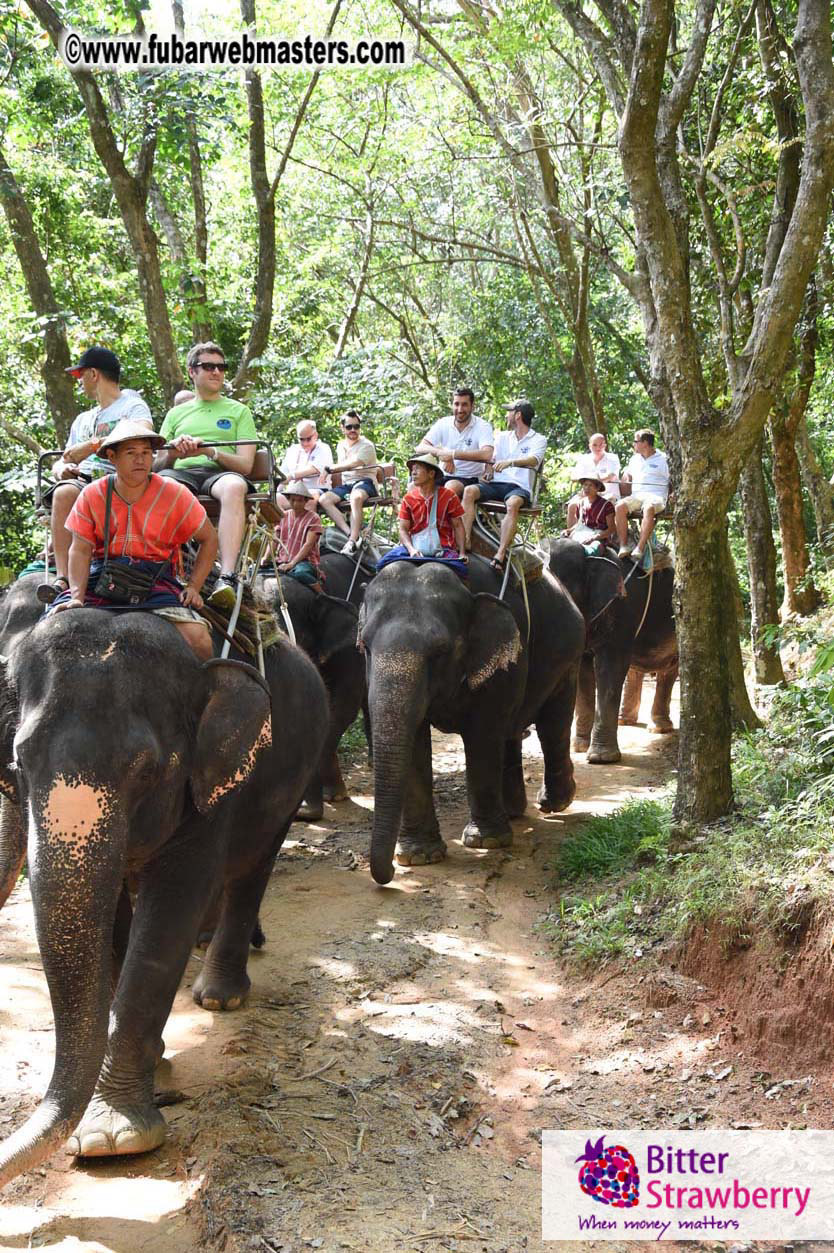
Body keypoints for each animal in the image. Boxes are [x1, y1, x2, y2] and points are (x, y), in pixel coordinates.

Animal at [0, 599, 328, 1187]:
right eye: (18, 762)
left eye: (148, 769)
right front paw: (152, 1069)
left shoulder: (213, 779)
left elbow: (170, 911)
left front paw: (113, 1140)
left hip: (290, 778)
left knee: (253, 865)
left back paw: (219, 998)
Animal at [358, 555, 585, 885]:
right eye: (364, 646)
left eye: (440, 651)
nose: (387, 875)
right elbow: (415, 744)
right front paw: (417, 857)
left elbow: (482, 736)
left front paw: (486, 841)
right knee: (512, 732)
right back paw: (514, 811)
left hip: (568, 655)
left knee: (552, 724)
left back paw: (553, 803)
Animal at [545, 538, 678, 763]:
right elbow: (583, 669)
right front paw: (579, 747)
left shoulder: (623, 604)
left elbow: (611, 665)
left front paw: (601, 758)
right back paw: (627, 721)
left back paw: (659, 728)